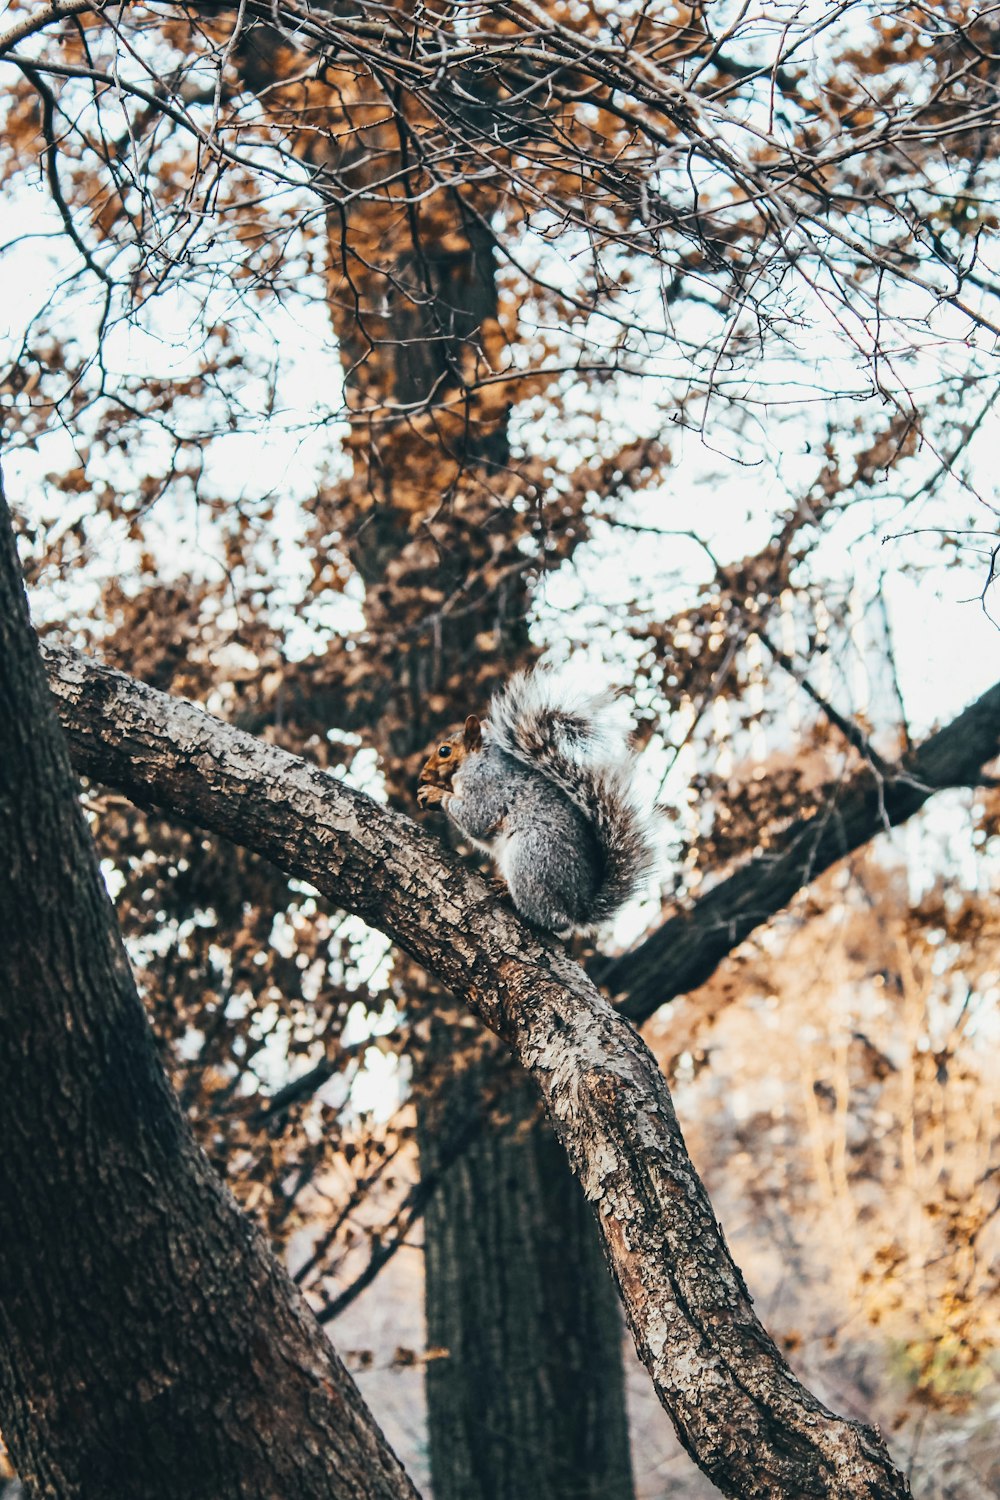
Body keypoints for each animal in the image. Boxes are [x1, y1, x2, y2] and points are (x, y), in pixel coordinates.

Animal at [413, 666, 656, 930]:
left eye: (444, 751)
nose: (422, 776)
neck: (477, 760)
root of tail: (578, 908)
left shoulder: (485, 786)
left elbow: (475, 817)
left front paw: (435, 794)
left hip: (530, 856)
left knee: (552, 917)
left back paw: (511, 896)